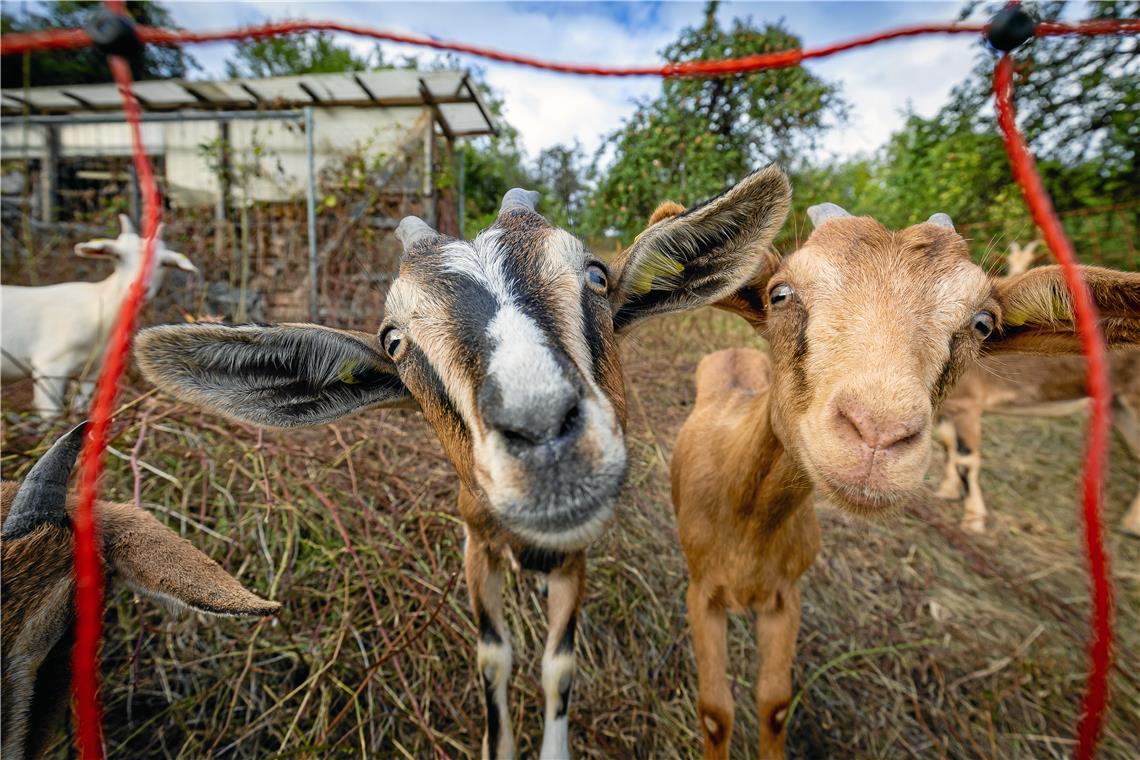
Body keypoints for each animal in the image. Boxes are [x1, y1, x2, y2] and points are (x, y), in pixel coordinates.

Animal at [1, 215, 197, 421]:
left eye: (163, 263)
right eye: (118, 256)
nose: (140, 289)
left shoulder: (94, 369)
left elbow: (82, 407)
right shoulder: (48, 366)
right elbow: (51, 416)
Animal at [132, 170, 793, 759]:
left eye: (596, 275)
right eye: (393, 339)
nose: (541, 432)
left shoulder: (575, 552)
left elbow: (558, 664)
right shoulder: (476, 542)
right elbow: (493, 655)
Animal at [666, 201, 1140, 759]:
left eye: (983, 323)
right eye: (780, 294)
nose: (878, 432)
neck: (749, 521)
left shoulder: (786, 598)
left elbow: (776, 704)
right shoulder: (702, 594)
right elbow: (716, 713)